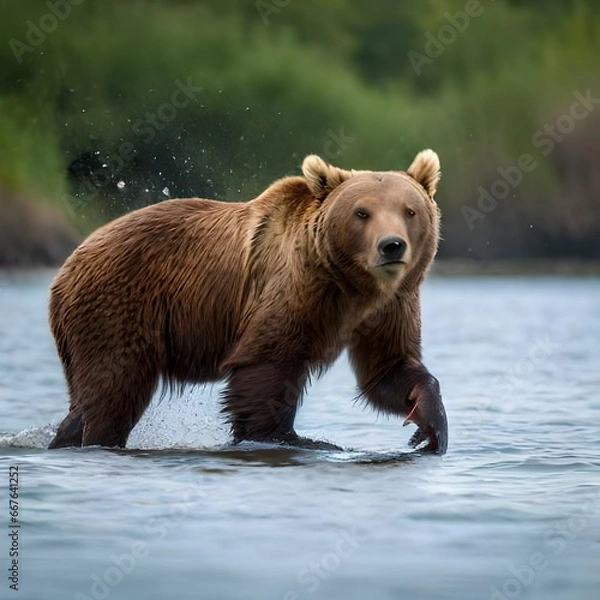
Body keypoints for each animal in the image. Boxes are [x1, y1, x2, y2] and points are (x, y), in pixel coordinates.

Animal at [49, 152, 448, 452]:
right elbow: (267, 366)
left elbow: (389, 368)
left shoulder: (391, 306)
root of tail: (69, 262)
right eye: (361, 213)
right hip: (117, 305)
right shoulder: (292, 289)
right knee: (113, 389)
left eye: (409, 210)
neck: (351, 285)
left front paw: (429, 426)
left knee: (90, 396)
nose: (391, 245)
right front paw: (294, 438)